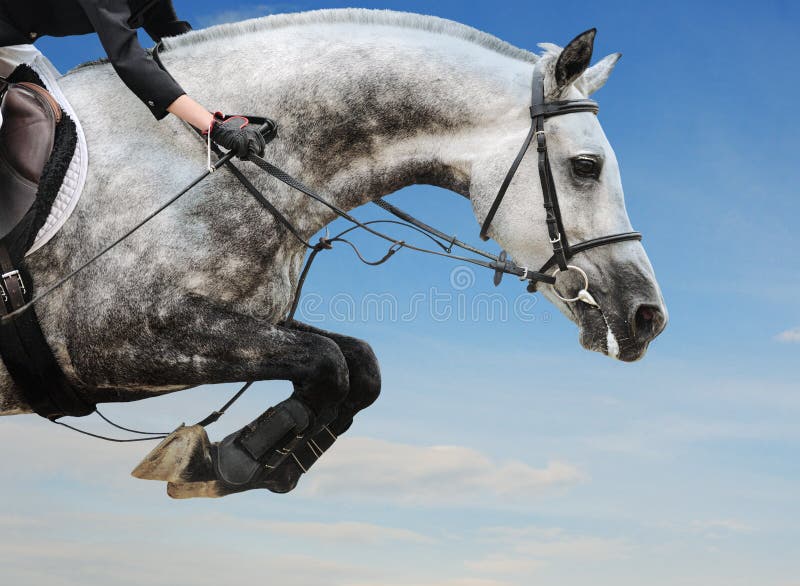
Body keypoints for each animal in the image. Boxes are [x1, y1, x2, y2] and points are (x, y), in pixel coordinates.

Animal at [0, 9, 664, 496]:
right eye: (586, 167)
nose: (647, 317)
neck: (201, 158)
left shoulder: (246, 323)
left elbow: (356, 364)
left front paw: (259, 462)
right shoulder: (118, 342)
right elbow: (327, 362)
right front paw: (224, 462)